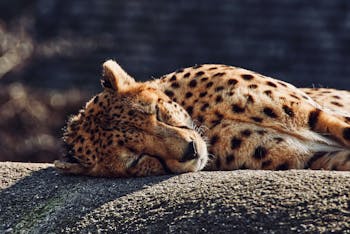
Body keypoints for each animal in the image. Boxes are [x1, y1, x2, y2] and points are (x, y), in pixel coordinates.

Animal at [54, 59, 350, 176]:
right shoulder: (312, 158)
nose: (191, 150)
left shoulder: (314, 114)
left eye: (156, 112)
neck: (203, 120)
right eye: (137, 159)